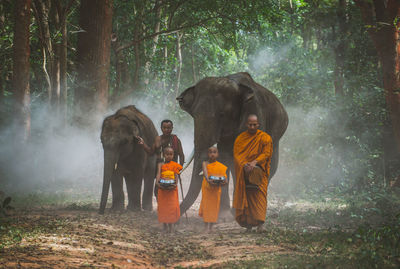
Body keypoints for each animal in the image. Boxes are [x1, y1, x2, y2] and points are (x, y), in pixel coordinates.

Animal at [177, 72, 288, 215]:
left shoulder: (254, 115)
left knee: (269, 167)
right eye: (194, 115)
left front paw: (237, 212)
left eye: (222, 114)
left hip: (277, 134)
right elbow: (224, 158)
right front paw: (224, 214)